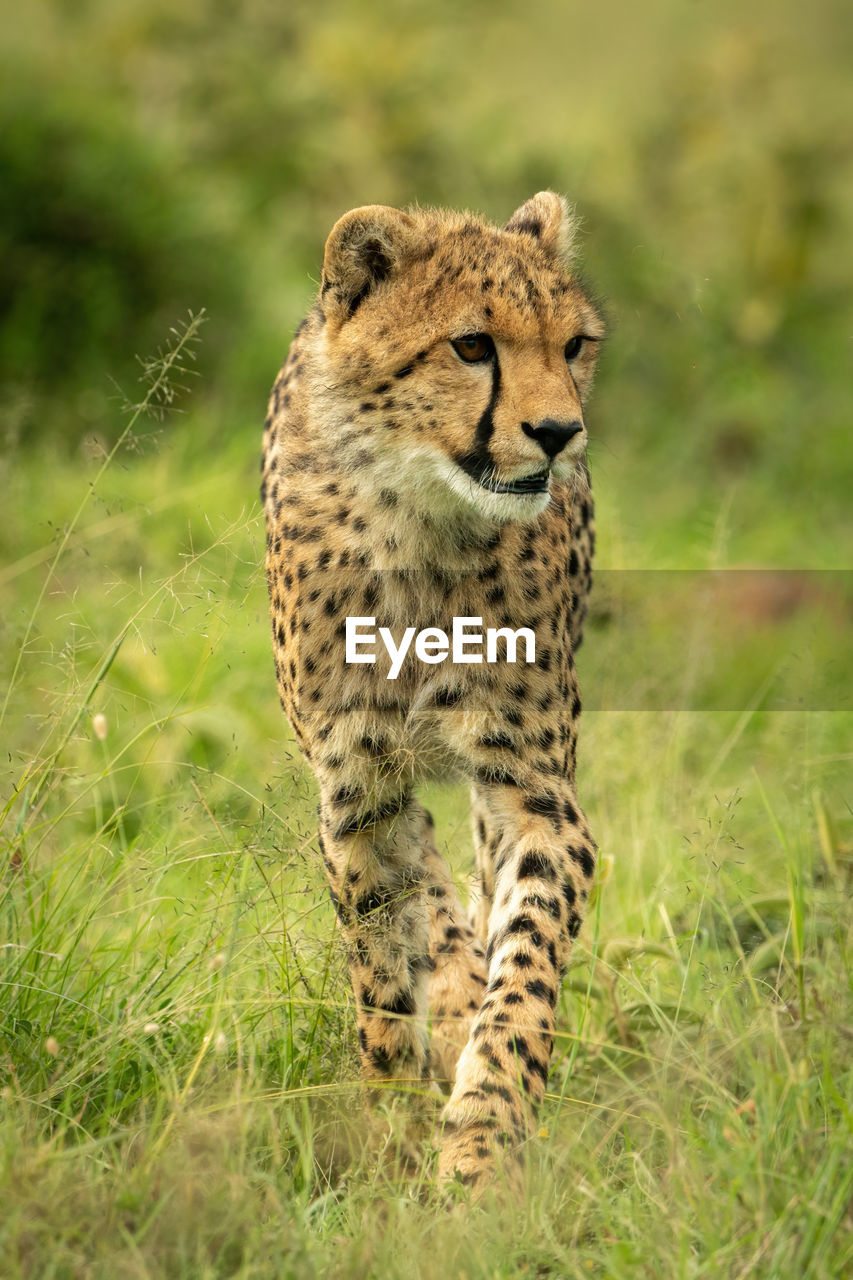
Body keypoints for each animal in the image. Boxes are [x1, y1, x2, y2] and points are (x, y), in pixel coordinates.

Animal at [262, 189, 601, 1187]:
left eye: (574, 345)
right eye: (471, 345)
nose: (558, 432)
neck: (420, 517)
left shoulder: (534, 793)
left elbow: (524, 970)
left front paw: (480, 1143)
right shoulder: (356, 790)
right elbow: (381, 968)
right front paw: (389, 1126)